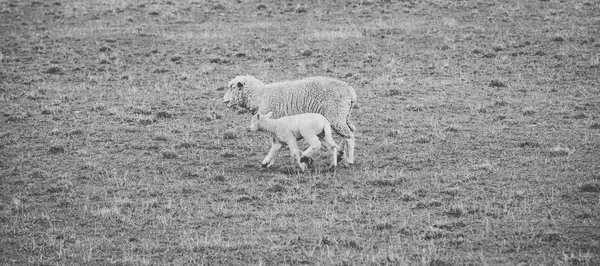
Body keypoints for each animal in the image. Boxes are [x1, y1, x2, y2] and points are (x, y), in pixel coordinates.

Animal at [224, 75, 356, 164]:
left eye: (233, 87)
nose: (224, 101)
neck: (260, 96)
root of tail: (350, 91)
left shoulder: (276, 123)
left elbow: (276, 144)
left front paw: (269, 161)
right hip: (341, 117)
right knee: (345, 135)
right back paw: (340, 154)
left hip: (336, 114)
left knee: (349, 136)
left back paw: (349, 160)